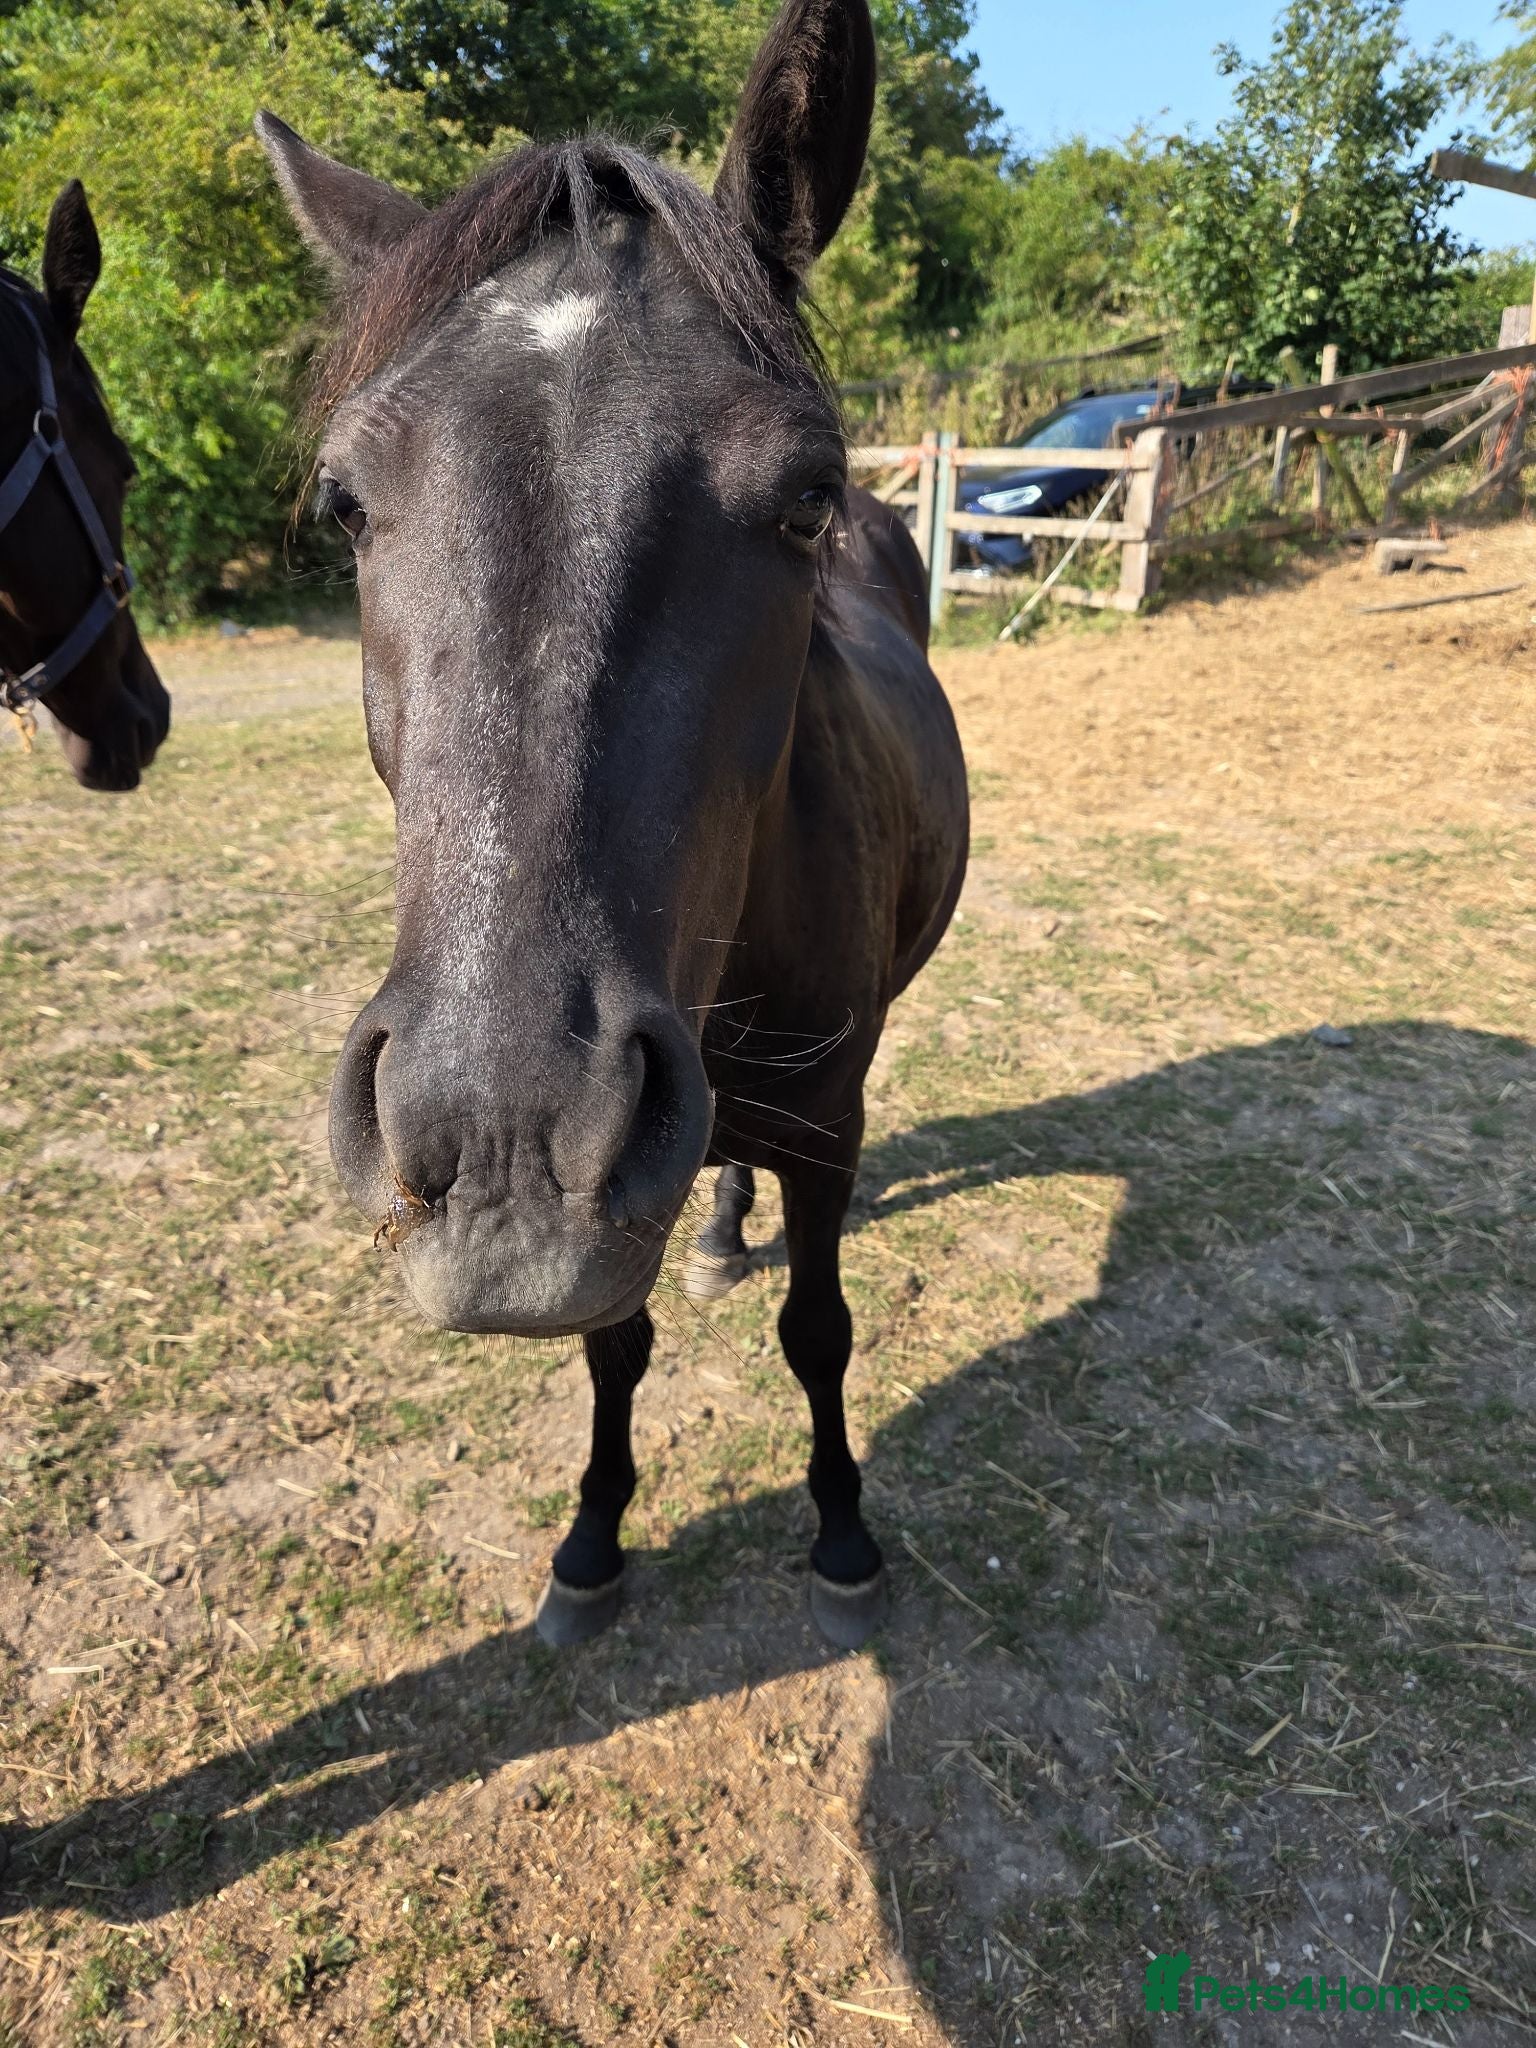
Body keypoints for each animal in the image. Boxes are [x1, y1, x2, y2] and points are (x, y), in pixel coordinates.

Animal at [256, 0, 969, 1651]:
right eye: (346, 504)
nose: (498, 1138)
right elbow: (610, 1348)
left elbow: (821, 1328)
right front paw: (590, 1539)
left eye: (807, 495)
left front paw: (842, 1528)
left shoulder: (830, 1123)